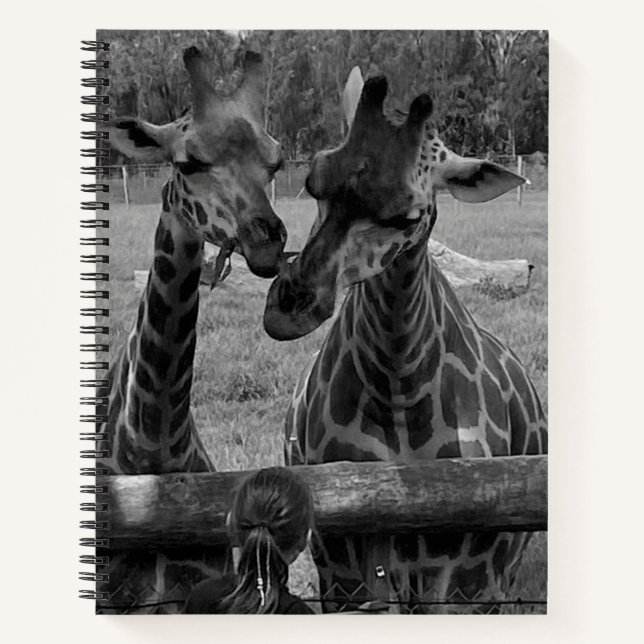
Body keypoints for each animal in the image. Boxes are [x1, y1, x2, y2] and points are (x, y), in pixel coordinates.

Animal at [263, 74, 547, 613]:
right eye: (313, 181)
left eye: (408, 216)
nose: (288, 308)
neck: (400, 393)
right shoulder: (344, 565)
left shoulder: (468, 577)